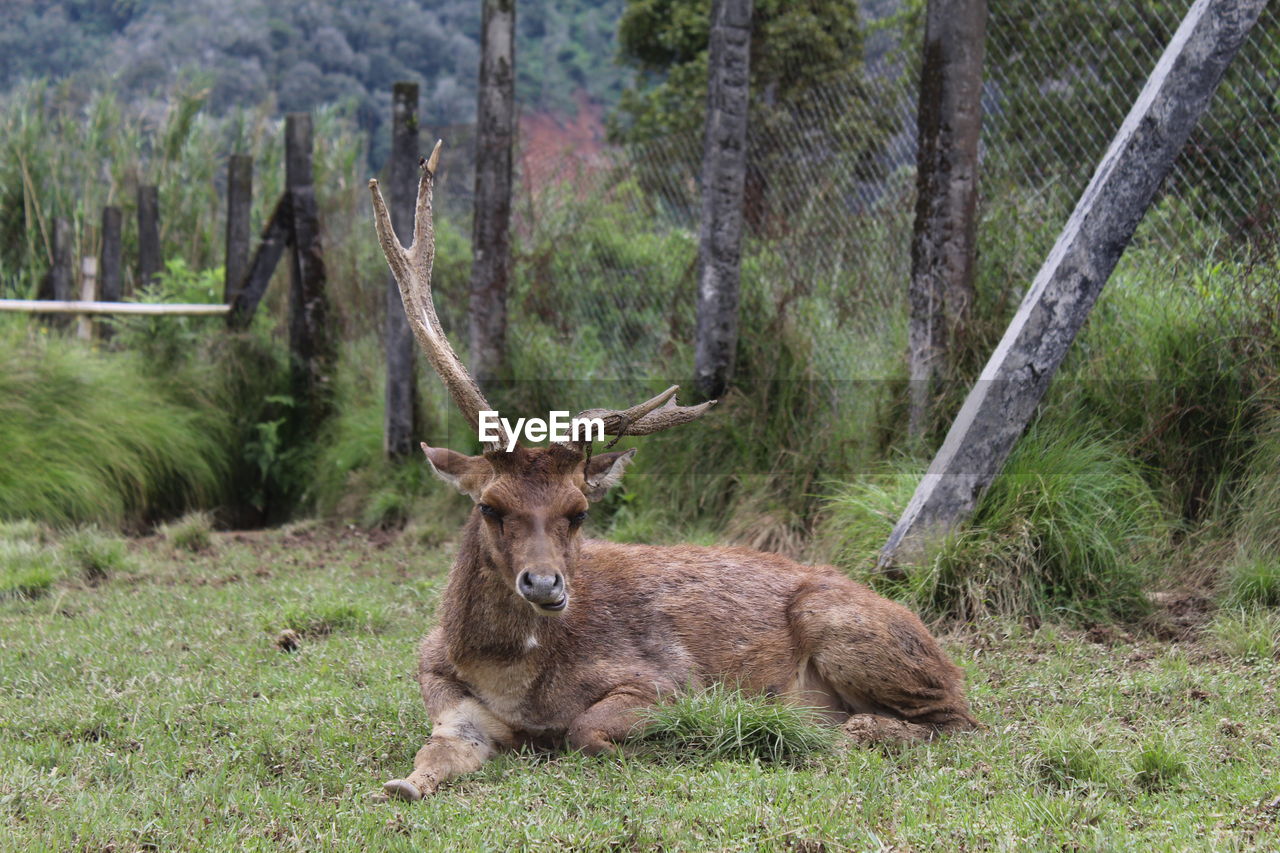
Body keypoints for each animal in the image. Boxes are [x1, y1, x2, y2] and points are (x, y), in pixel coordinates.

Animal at [371, 139, 977, 799]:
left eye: (579, 512)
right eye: (489, 505)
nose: (545, 584)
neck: (509, 682)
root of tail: (938, 648)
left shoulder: (663, 678)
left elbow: (584, 728)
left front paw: (667, 743)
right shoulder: (446, 699)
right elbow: (431, 757)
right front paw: (404, 785)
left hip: (848, 629)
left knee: (957, 721)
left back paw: (831, 730)